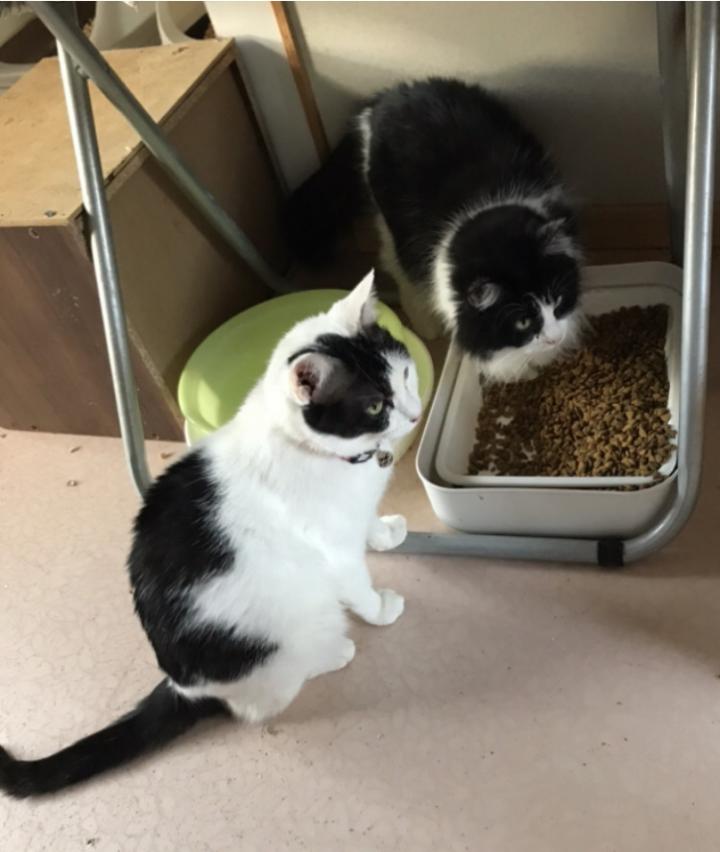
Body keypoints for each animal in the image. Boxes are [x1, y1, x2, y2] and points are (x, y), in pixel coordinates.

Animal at [0, 275, 421, 798]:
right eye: (375, 405)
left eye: (406, 374)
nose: (414, 414)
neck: (312, 450)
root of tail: (185, 684)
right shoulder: (334, 550)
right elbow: (359, 587)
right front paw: (381, 609)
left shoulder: (354, 511)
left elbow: (368, 522)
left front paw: (387, 532)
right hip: (288, 631)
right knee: (259, 704)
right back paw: (334, 652)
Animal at [286, 77, 583, 382]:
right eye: (523, 322)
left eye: (558, 301)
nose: (554, 339)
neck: (483, 206)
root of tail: (386, 97)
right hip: (391, 222)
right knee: (393, 262)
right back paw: (424, 323)